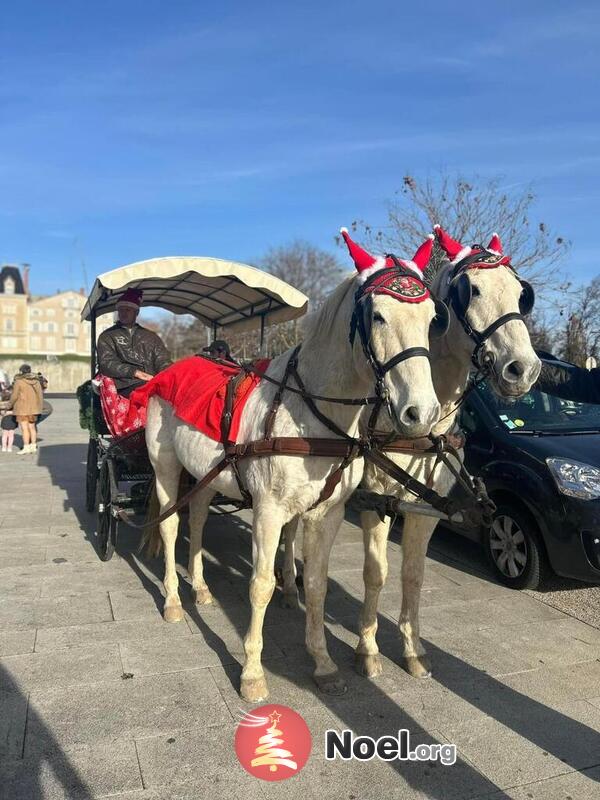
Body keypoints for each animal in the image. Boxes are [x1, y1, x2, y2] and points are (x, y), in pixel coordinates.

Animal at [141, 231, 440, 700]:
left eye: (432, 319)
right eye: (377, 317)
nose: (421, 413)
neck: (309, 412)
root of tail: (173, 367)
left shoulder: (326, 513)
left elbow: (315, 583)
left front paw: (322, 661)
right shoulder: (268, 511)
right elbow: (261, 586)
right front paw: (252, 672)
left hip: (206, 476)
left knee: (199, 520)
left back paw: (200, 587)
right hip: (166, 467)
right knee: (171, 525)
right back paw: (173, 599)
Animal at [278, 227, 540, 680]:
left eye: (520, 294)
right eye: (471, 290)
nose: (522, 369)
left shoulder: (427, 507)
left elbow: (413, 575)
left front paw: (413, 649)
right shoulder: (376, 500)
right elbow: (376, 573)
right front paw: (367, 649)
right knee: (291, 527)